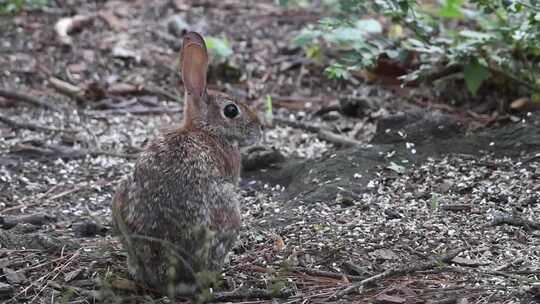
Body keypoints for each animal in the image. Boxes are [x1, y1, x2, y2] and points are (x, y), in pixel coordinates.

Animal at [110, 31, 262, 296]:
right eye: (231, 111)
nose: (260, 128)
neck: (206, 129)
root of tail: (164, 270)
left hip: (120, 197)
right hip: (229, 213)